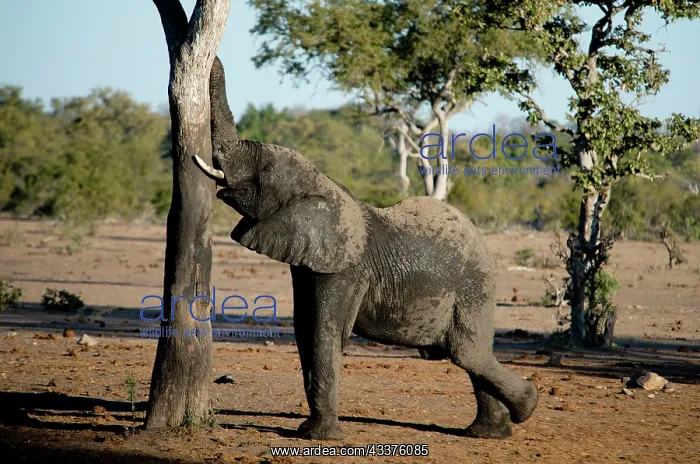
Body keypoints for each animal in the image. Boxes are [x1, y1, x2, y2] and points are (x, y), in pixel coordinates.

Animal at [192, 57, 539, 440]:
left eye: (265, 170)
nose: (217, 57)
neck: (323, 185)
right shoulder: (308, 261)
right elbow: (304, 328)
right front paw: (309, 430)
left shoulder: (345, 268)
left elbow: (324, 331)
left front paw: (319, 438)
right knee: (470, 355)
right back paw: (488, 432)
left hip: (474, 286)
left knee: (467, 352)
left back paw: (527, 406)